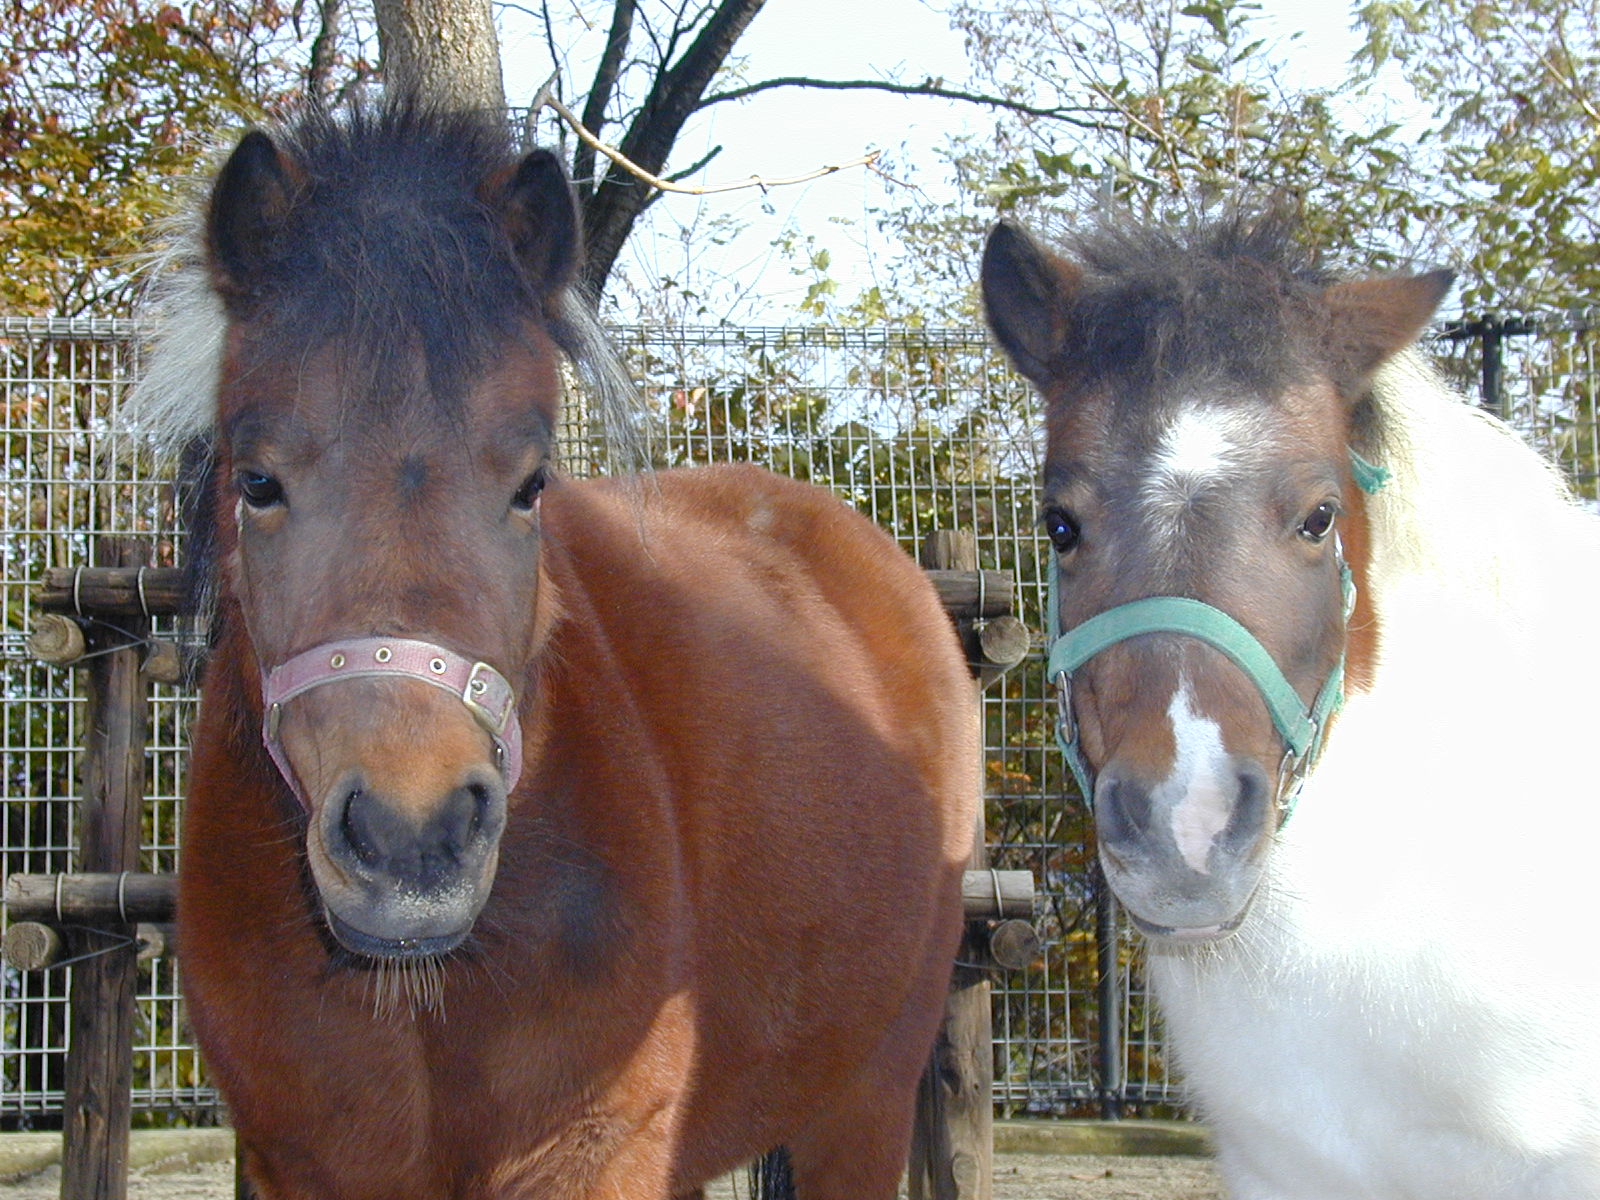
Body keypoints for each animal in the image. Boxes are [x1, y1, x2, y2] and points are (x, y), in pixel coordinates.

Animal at [144, 101, 972, 1200]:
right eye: (258, 481)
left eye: (532, 482)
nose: (413, 841)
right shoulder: (299, 1163)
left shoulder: (598, 1153)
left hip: (867, 1095)